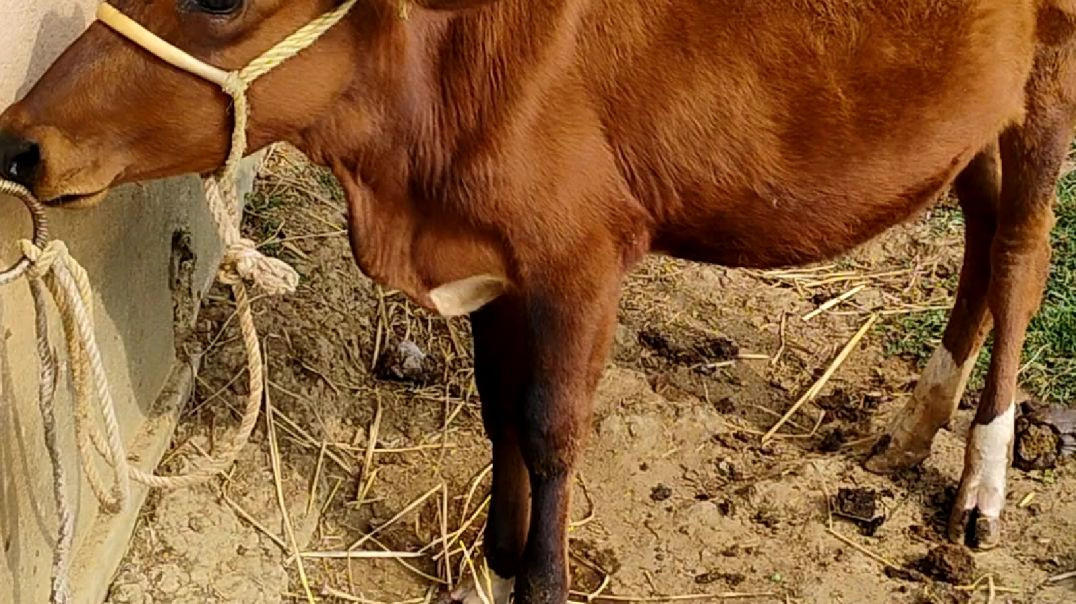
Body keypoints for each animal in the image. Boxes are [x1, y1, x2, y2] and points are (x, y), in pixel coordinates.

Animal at [1, 1, 1074, 602]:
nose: (18, 140)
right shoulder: (494, 261)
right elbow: (497, 413)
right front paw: (495, 552)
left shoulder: (580, 257)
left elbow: (553, 430)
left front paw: (542, 581)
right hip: (974, 120)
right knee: (981, 241)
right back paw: (911, 425)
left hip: (1046, 93)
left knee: (1021, 259)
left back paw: (981, 481)